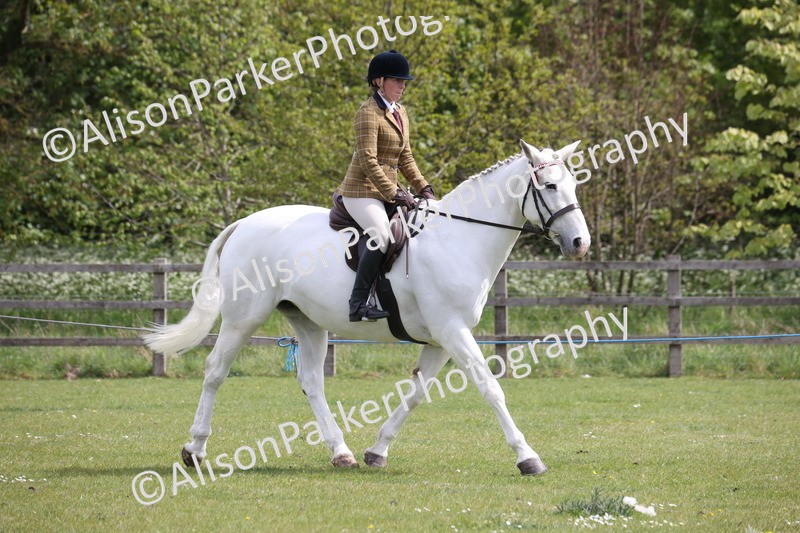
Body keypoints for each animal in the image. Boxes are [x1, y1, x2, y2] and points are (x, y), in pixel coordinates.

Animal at [143, 139, 590, 475]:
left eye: (573, 185)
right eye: (549, 186)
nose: (580, 244)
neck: (459, 237)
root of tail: (245, 223)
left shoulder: (441, 339)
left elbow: (416, 393)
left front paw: (378, 451)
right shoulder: (452, 330)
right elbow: (489, 387)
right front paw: (528, 457)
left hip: (308, 321)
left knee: (312, 381)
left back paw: (341, 452)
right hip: (243, 318)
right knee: (215, 371)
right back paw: (195, 450)